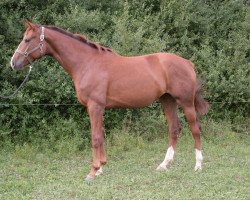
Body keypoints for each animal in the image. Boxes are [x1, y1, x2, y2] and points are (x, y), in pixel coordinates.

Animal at [10, 19, 209, 181]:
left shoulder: (95, 106)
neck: (87, 63)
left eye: (27, 40)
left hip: (185, 102)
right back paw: (164, 165)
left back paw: (198, 166)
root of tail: (188, 63)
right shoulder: (97, 108)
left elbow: (96, 137)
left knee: (195, 129)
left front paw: (92, 172)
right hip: (167, 100)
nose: (13, 63)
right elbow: (101, 134)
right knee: (174, 129)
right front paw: (100, 168)